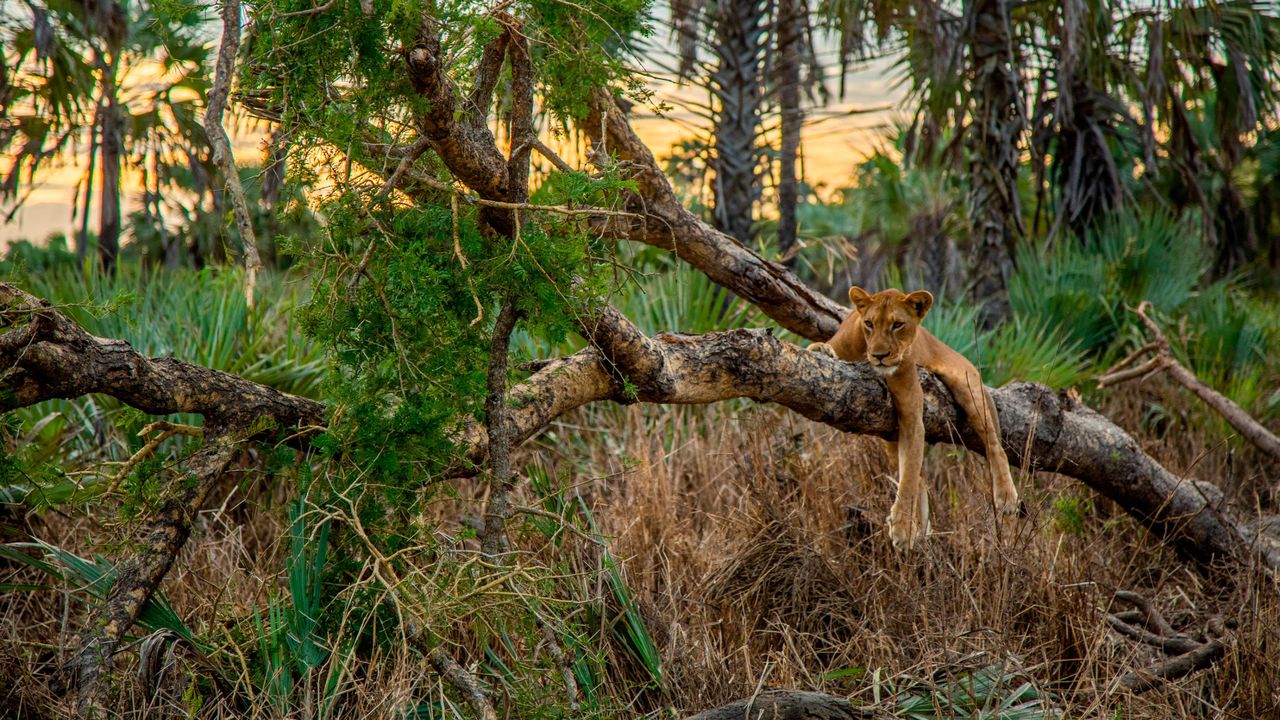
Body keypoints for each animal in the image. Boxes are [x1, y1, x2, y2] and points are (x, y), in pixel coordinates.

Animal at [808, 283, 1018, 545]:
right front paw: (821, 348)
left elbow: (908, 475)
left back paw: (1006, 496)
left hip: (967, 385)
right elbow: (911, 472)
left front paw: (902, 528)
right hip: (888, 437)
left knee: (993, 443)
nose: (879, 355)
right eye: (869, 323)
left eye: (897, 324)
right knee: (920, 477)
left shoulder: (911, 413)